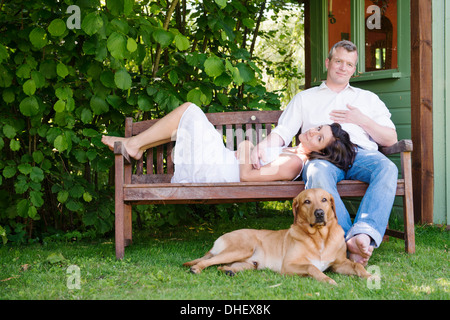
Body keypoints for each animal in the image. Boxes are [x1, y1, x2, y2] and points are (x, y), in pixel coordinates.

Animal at [183, 188, 370, 284]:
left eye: (324, 199)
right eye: (307, 202)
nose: (319, 213)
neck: (320, 237)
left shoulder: (338, 264)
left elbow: (357, 266)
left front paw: (369, 276)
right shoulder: (288, 265)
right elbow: (312, 267)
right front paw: (327, 280)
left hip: (248, 263)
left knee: (222, 266)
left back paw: (228, 271)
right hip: (241, 248)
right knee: (208, 261)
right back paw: (196, 268)